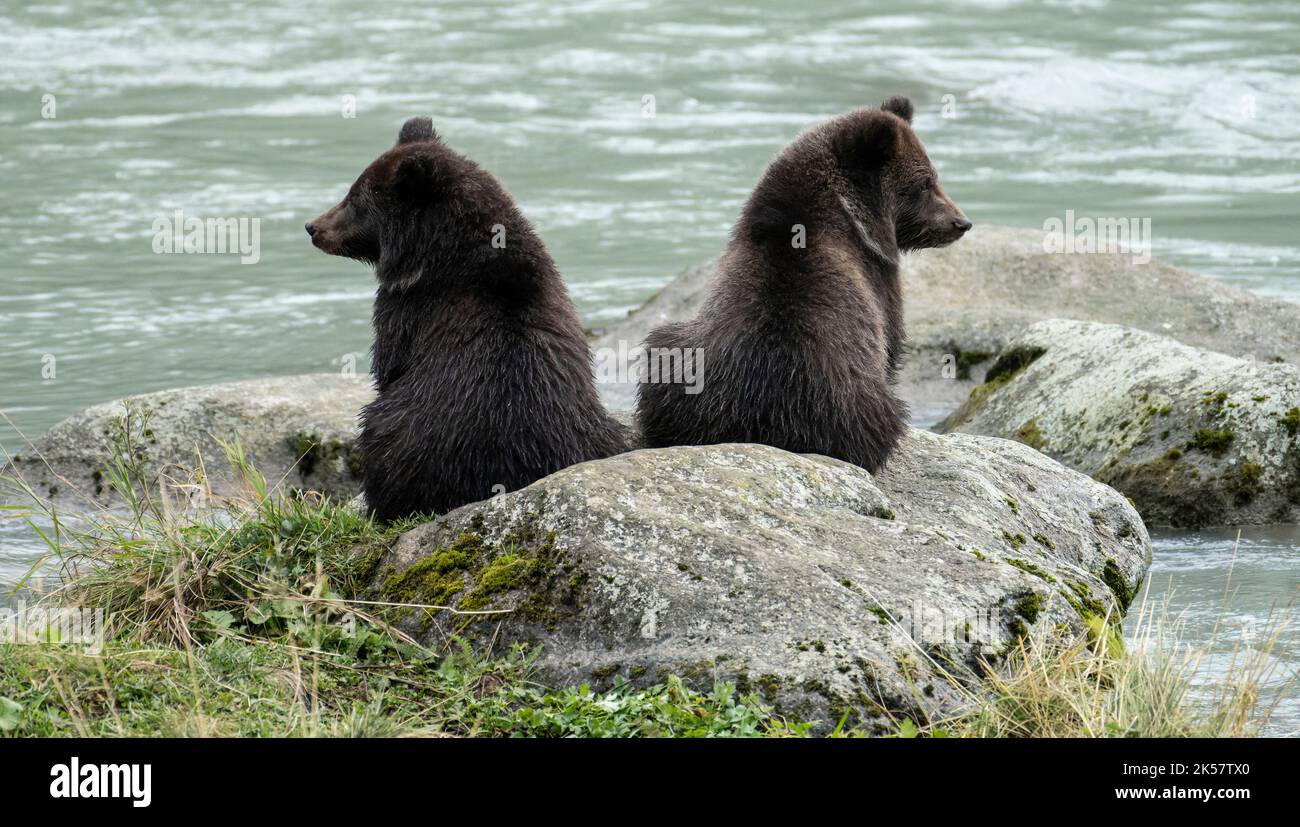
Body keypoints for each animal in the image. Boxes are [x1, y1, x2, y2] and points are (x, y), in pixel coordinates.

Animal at [307, 117, 627, 521]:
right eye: (351, 192)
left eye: (356, 201)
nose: (313, 227)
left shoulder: (407, 308)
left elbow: (388, 364)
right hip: (597, 430)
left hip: (402, 436)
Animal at [636, 97, 970, 473]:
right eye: (925, 182)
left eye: (933, 177)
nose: (961, 222)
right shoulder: (876, 275)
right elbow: (892, 337)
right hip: (847, 398)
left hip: (684, 369)